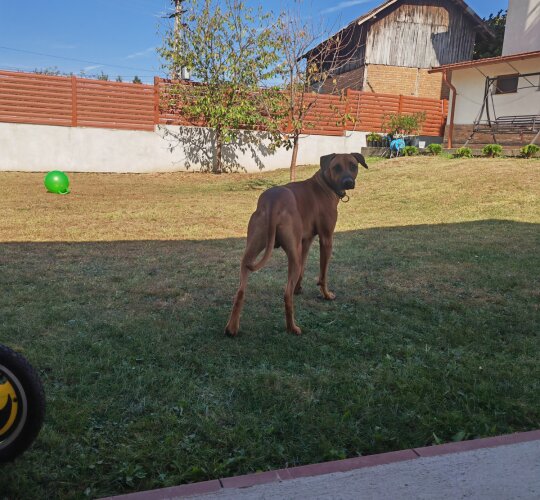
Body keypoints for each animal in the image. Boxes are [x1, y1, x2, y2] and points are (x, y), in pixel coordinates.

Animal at [224, 152, 368, 336]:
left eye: (353, 166)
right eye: (336, 167)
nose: (348, 182)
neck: (324, 184)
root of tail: (272, 203)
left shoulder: (305, 241)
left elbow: (303, 267)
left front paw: (298, 288)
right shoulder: (326, 239)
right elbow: (323, 274)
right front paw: (326, 294)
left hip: (254, 249)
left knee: (240, 291)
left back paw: (232, 328)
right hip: (292, 254)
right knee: (286, 295)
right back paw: (292, 327)